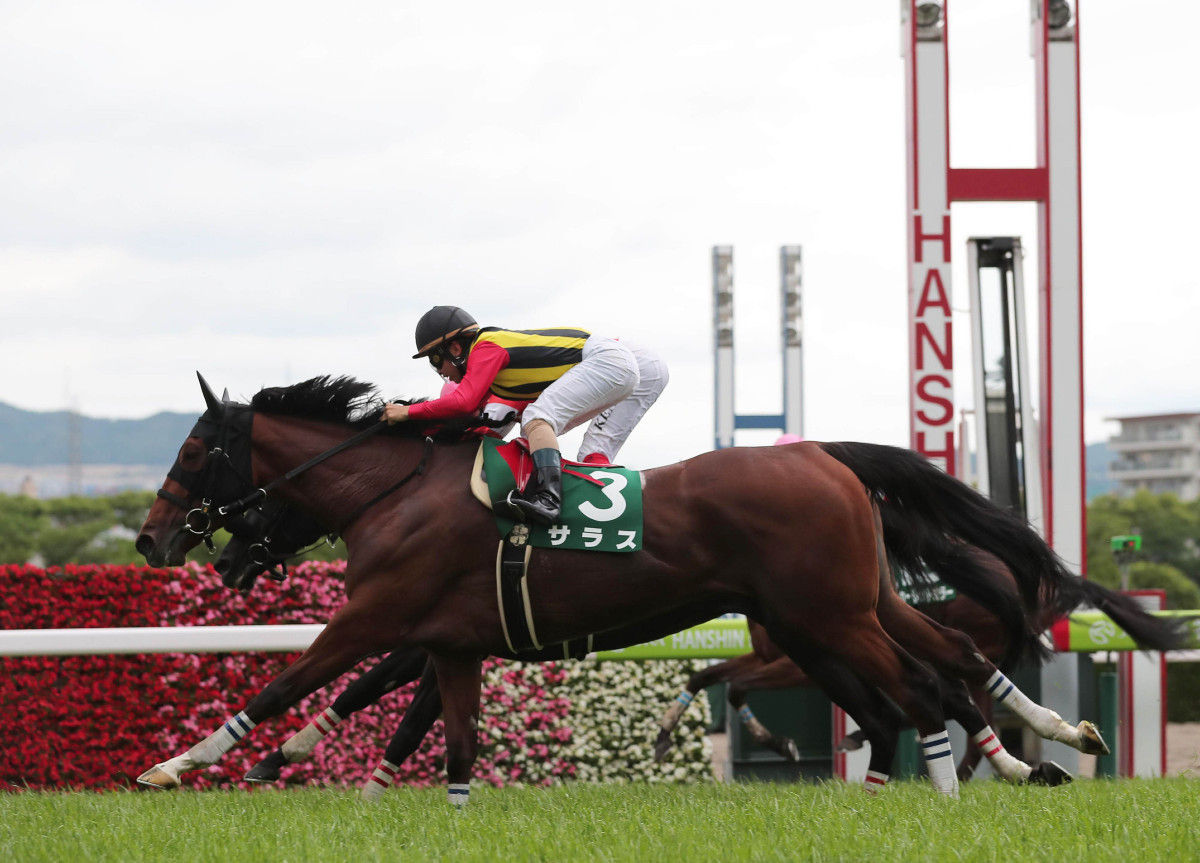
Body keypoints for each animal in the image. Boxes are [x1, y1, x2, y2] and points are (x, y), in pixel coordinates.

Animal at [134, 374, 1116, 802]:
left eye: (196, 450)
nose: (153, 539)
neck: (396, 490)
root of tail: (823, 455)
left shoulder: (377, 615)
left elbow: (291, 683)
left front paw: (182, 763)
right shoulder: (450, 640)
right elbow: (443, 736)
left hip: (825, 615)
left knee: (920, 686)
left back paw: (964, 781)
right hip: (847, 606)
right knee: (943, 662)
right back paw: (1050, 742)